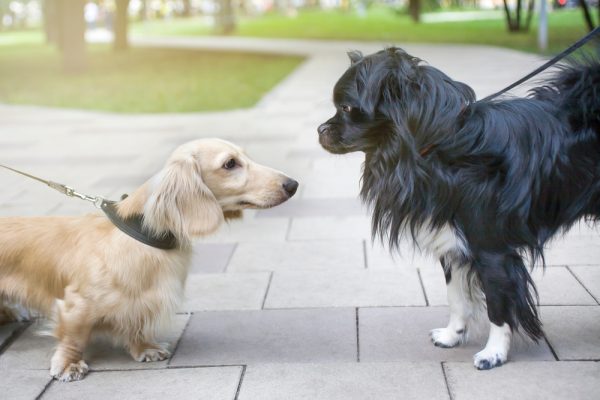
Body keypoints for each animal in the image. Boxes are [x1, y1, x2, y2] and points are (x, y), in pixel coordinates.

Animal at [318, 47, 600, 368]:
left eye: (347, 108)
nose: (319, 129)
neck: (441, 145)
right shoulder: (451, 242)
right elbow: (457, 297)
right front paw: (452, 335)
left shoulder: (493, 253)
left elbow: (498, 306)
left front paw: (494, 353)